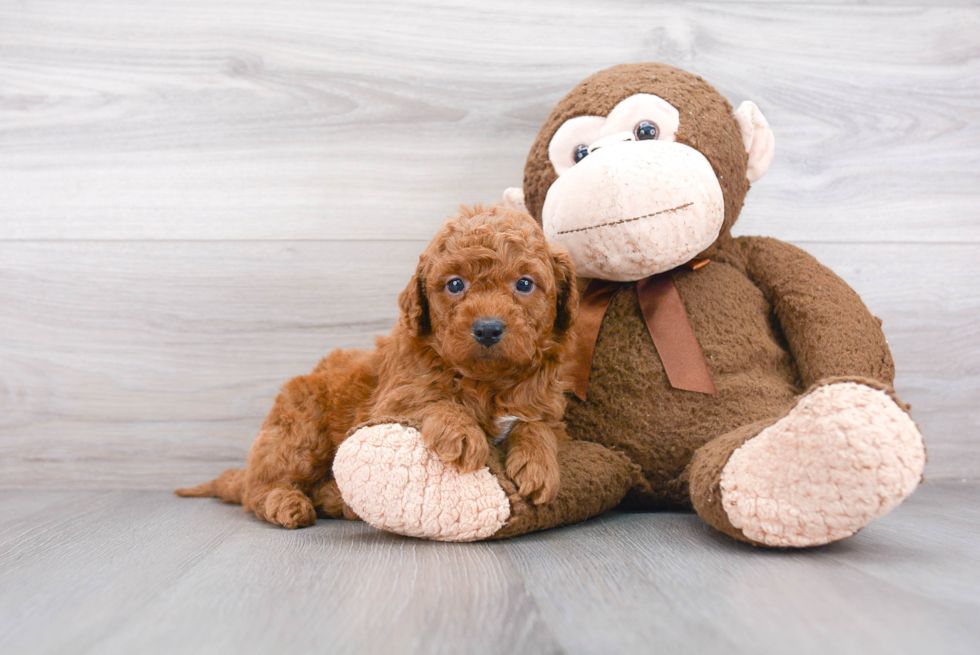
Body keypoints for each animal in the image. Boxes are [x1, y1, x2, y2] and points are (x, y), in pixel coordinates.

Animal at [177, 204, 580, 528]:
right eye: (455, 285)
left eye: (525, 284)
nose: (487, 328)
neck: (487, 382)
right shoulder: (391, 400)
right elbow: (433, 399)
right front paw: (461, 431)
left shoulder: (549, 405)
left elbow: (537, 425)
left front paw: (539, 466)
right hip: (299, 431)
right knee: (259, 487)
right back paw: (288, 503)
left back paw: (333, 500)